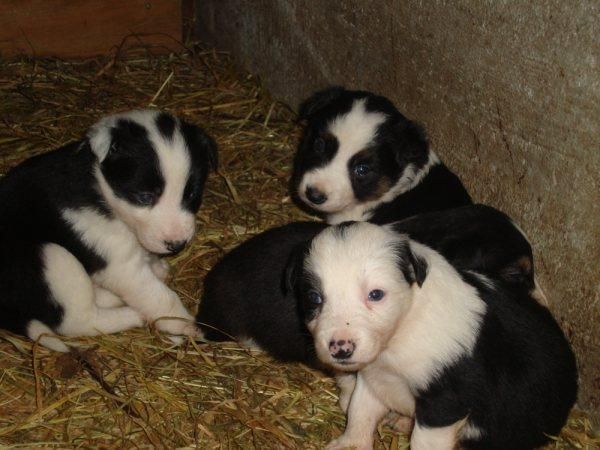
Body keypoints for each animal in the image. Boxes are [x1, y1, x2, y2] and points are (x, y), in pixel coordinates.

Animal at [0, 109, 219, 352]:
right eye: (144, 197)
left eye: (190, 195)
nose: (177, 245)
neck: (101, 191)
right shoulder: (122, 266)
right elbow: (160, 297)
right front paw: (185, 324)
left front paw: (157, 267)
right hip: (53, 258)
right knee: (77, 321)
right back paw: (133, 315)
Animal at [288, 224, 580, 450]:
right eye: (314, 297)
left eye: (376, 294)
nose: (341, 348)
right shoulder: (373, 378)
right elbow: (360, 413)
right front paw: (350, 444)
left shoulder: (446, 402)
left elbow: (423, 442)